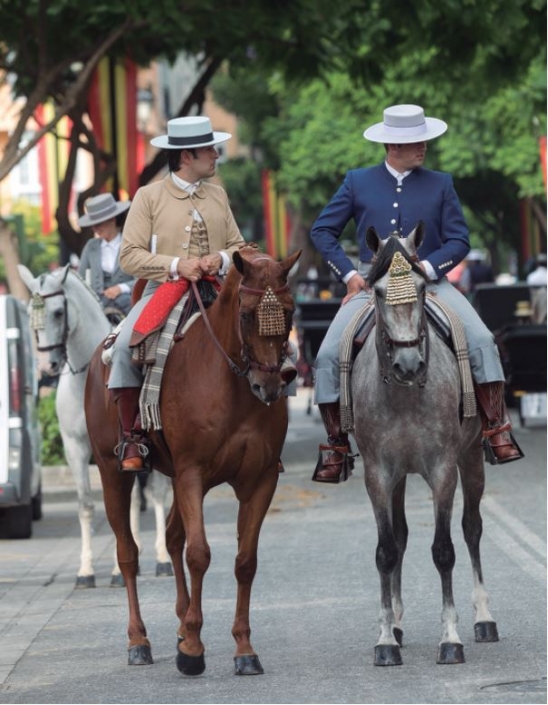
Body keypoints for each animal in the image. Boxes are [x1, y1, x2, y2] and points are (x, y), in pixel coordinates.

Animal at [17, 262, 171, 584]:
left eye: (58, 313)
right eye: (30, 314)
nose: (47, 366)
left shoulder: (120, 450)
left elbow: (129, 502)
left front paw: (117, 569)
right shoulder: (75, 449)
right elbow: (86, 505)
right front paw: (86, 570)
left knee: (159, 493)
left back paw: (163, 557)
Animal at [84, 245, 300, 672]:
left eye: (290, 310)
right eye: (246, 314)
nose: (270, 384)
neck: (233, 385)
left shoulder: (261, 479)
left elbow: (245, 560)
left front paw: (243, 648)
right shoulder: (191, 475)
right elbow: (199, 554)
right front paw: (193, 652)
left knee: (171, 537)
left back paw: (182, 624)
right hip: (111, 471)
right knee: (128, 553)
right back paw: (139, 640)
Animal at [352, 226, 500, 664]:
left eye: (419, 288)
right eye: (377, 291)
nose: (408, 364)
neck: (403, 392)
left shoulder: (443, 468)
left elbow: (444, 549)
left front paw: (450, 638)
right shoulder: (378, 474)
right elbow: (386, 550)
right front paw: (386, 638)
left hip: (471, 458)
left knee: (472, 529)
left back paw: (484, 618)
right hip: (400, 476)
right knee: (400, 537)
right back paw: (398, 625)